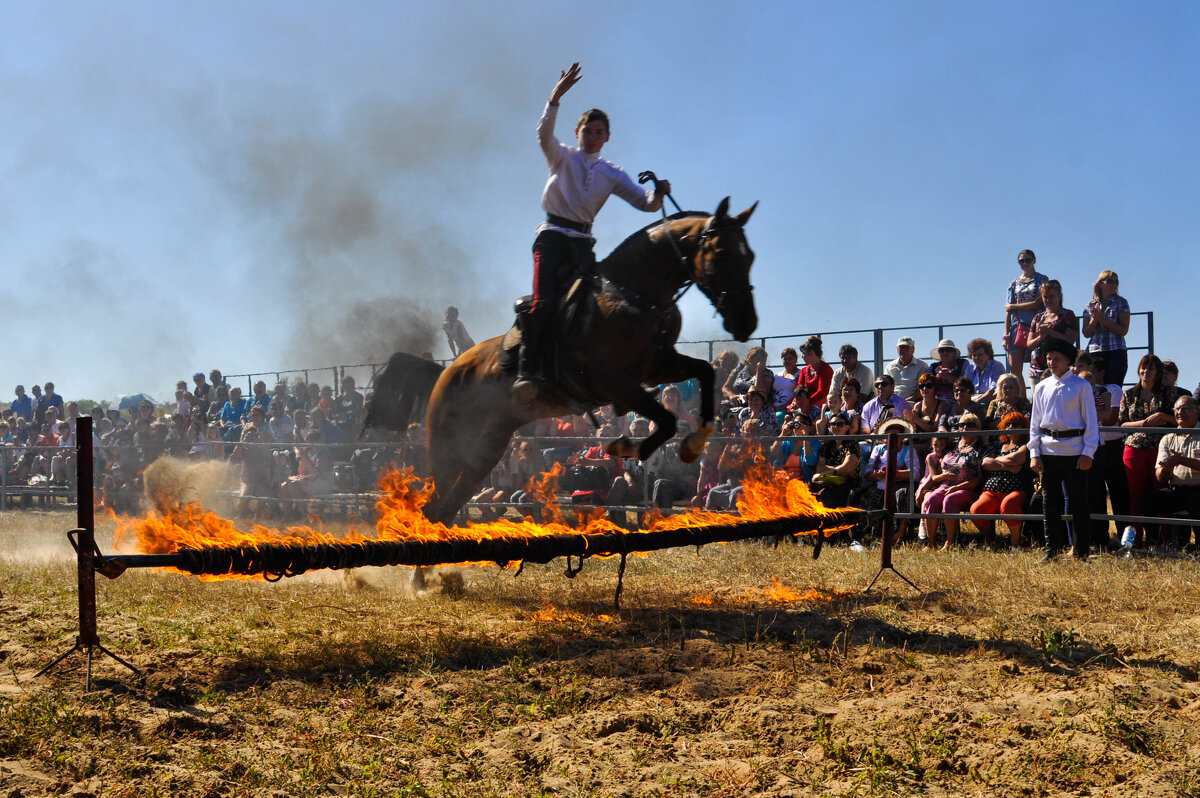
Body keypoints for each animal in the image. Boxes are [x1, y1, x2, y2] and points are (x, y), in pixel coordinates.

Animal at [364, 195, 758, 525]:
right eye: (722, 255)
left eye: (749, 256)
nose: (746, 323)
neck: (631, 295)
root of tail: (444, 375)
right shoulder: (617, 382)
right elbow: (664, 420)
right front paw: (628, 446)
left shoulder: (656, 368)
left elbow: (703, 374)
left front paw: (693, 443)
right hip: (449, 452)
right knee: (434, 508)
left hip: (484, 451)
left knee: (444, 511)